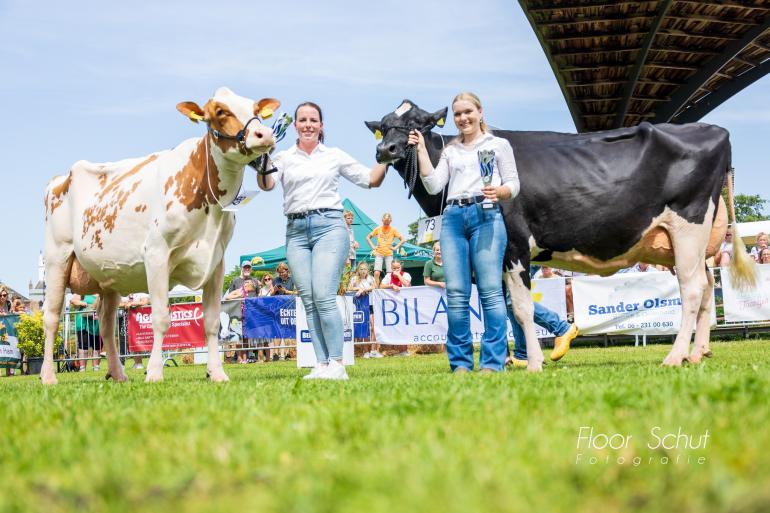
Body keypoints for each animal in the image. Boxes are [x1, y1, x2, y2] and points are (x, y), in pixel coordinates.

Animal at [39, 88, 280, 384]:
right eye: (221, 111)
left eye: (256, 108)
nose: (264, 135)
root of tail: (58, 179)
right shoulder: (156, 253)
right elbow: (161, 317)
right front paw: (154, 372)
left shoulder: (217, 260)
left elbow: (212, 321)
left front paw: (217, 372)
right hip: (57, 258)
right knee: (51, 317)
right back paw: (48, 376)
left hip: (108, 276)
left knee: (106, 323)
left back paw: (118, 373)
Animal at [364, 101, 752, 372]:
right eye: (382, 127)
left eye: (417, 124)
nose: (386, 151)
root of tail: (714, 130)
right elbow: (503, 307)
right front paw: (510, 360)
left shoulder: (515, 246)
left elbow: (521, 309)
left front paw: (534, 363)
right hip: (684, 244)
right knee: (706, 287)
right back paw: (698, 353)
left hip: (688, 228)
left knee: (693, 289)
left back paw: (675, 356)